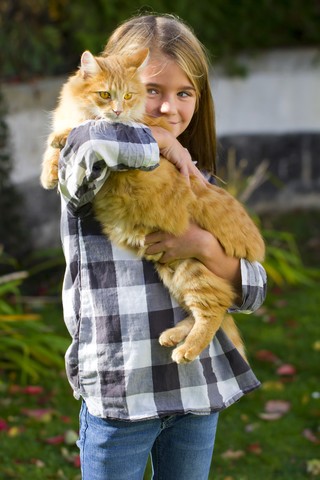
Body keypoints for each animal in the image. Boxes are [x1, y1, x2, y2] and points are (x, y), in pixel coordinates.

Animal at [40, 49, 264, 364]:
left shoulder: (132, 128)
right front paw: (49, 172)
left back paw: (185, 350)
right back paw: (172, 336)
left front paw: (63, 137)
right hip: (175, 269)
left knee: (214, 310)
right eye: (105, 94)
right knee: (212, 308)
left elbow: (89, 128)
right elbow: (58, 153)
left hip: (191, 268)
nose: (118, 110)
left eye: (129, 95)